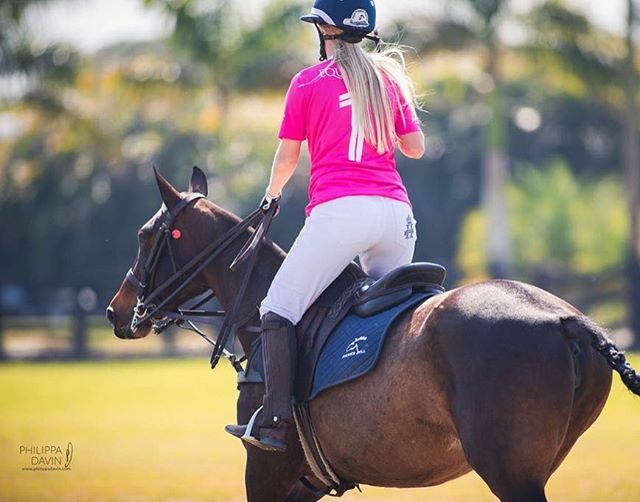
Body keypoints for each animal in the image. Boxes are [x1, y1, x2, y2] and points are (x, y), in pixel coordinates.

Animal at [106, 166, 640, 502]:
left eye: (144, 236)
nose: (117, 311)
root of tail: (568, 320)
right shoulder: (307, 481)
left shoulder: (266, 469)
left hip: (512, 473)